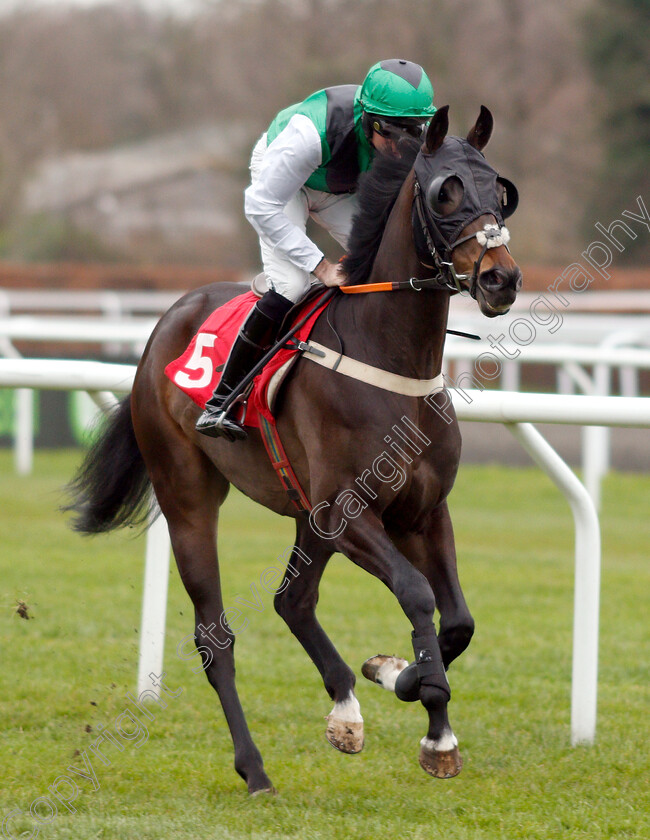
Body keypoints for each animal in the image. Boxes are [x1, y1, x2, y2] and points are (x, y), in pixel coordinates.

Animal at [66, 105, 520, 796]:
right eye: (446, 191)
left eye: (499, 189)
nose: (502, 277)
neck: (391, 359)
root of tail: (163, 325)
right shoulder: (348, 513)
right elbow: (417, 594)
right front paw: (422, 703)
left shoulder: (421, 512)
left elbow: (457, 622)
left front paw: (404, 686)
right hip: (190, 497)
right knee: (215, 635)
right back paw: (254, 769)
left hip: (307, 514)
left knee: (292, 601)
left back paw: (345, 708)